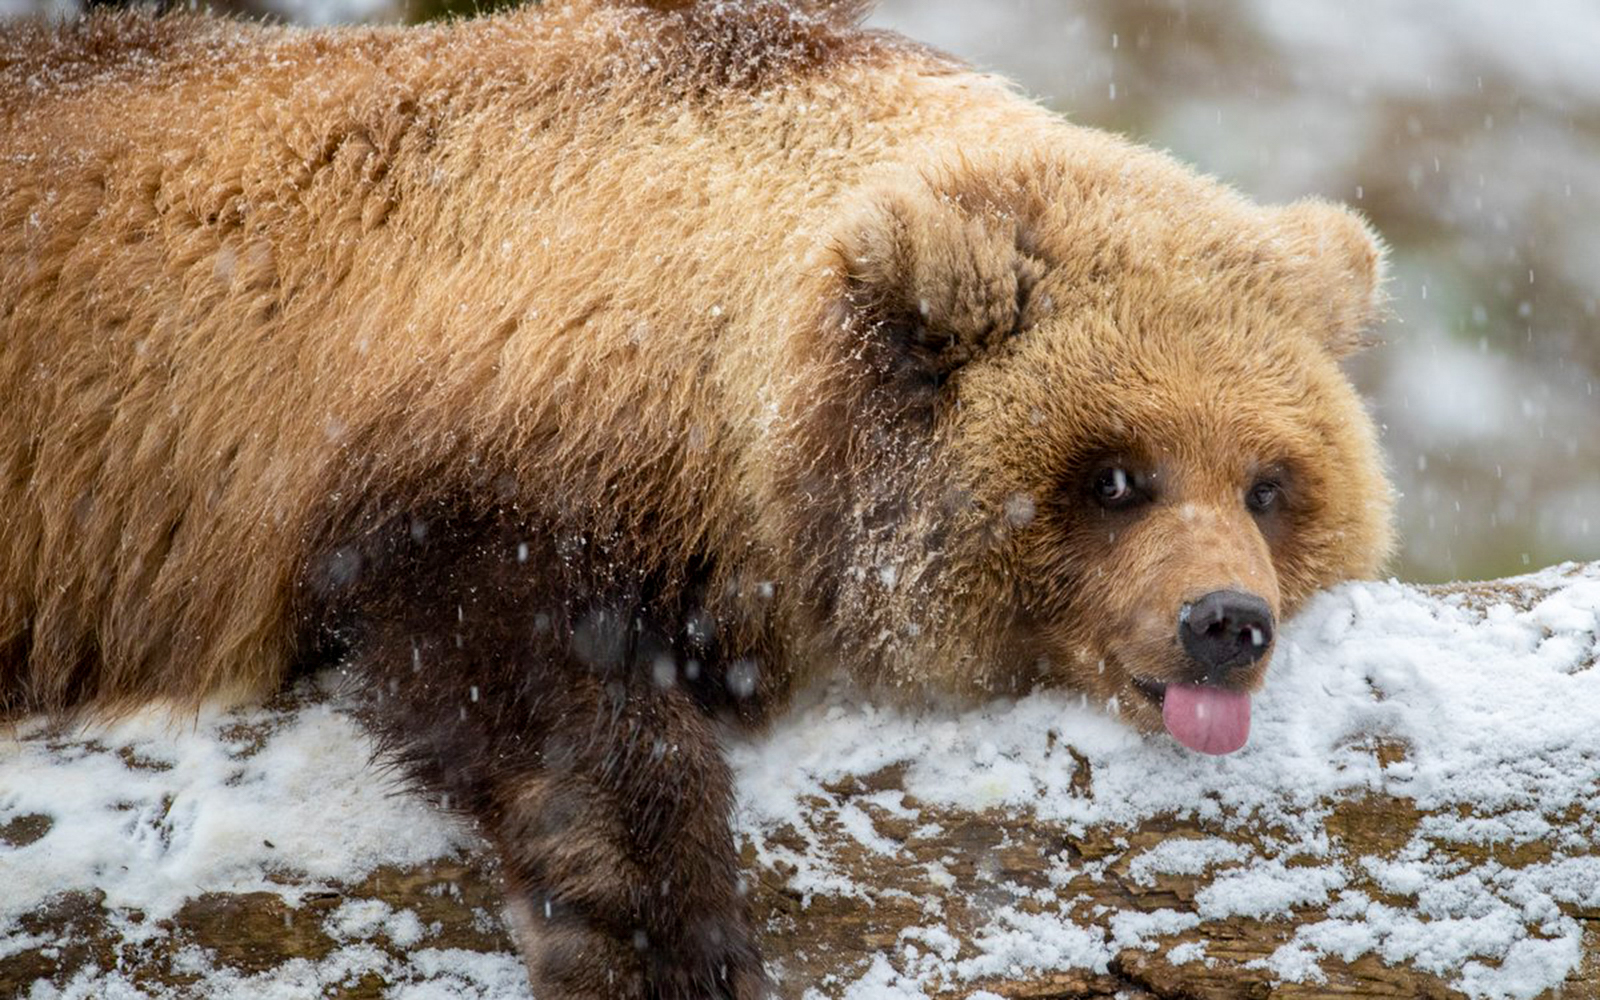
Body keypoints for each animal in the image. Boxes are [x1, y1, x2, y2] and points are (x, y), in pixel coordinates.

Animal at [0, 1, 1394, 997]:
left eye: (1270, 482)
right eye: (1113, 472)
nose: (1223, 621)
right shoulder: (464, 421)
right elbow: (531, 669)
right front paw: (663, 940)